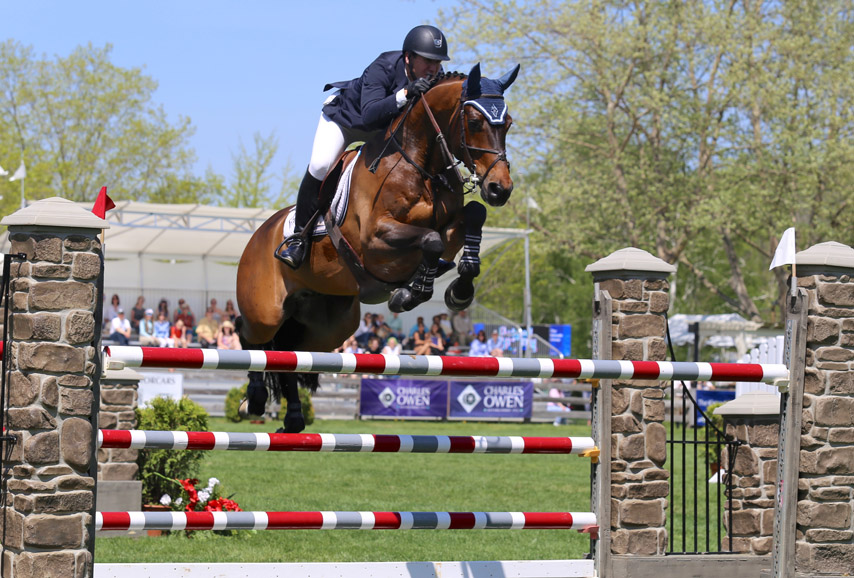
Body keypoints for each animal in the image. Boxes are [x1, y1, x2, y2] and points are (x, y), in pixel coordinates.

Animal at [236, 62, 520, 432]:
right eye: (473, 122)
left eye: (508, 122)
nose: (500, 188)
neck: (418, 165)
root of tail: (257, 236)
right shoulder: (375, 239)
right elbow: (429, 240)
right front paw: (410, 293)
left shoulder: (450, 224)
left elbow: (471, 217)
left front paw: (459, 288)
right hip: (266, 311)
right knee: (249, 335)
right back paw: (254, 398)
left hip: (330, 327)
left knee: (288, 350)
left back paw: (294, 417)